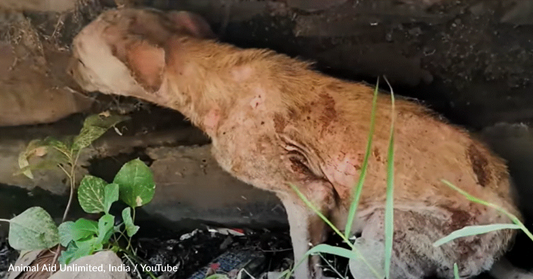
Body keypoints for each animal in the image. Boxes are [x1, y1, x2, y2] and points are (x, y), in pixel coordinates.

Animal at [67, 7, 528, 278]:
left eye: (79, 57)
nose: (68, 75)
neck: (202, 69)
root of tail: (508, 232)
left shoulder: (305, 192)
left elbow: (304, 256)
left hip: (386, 246)